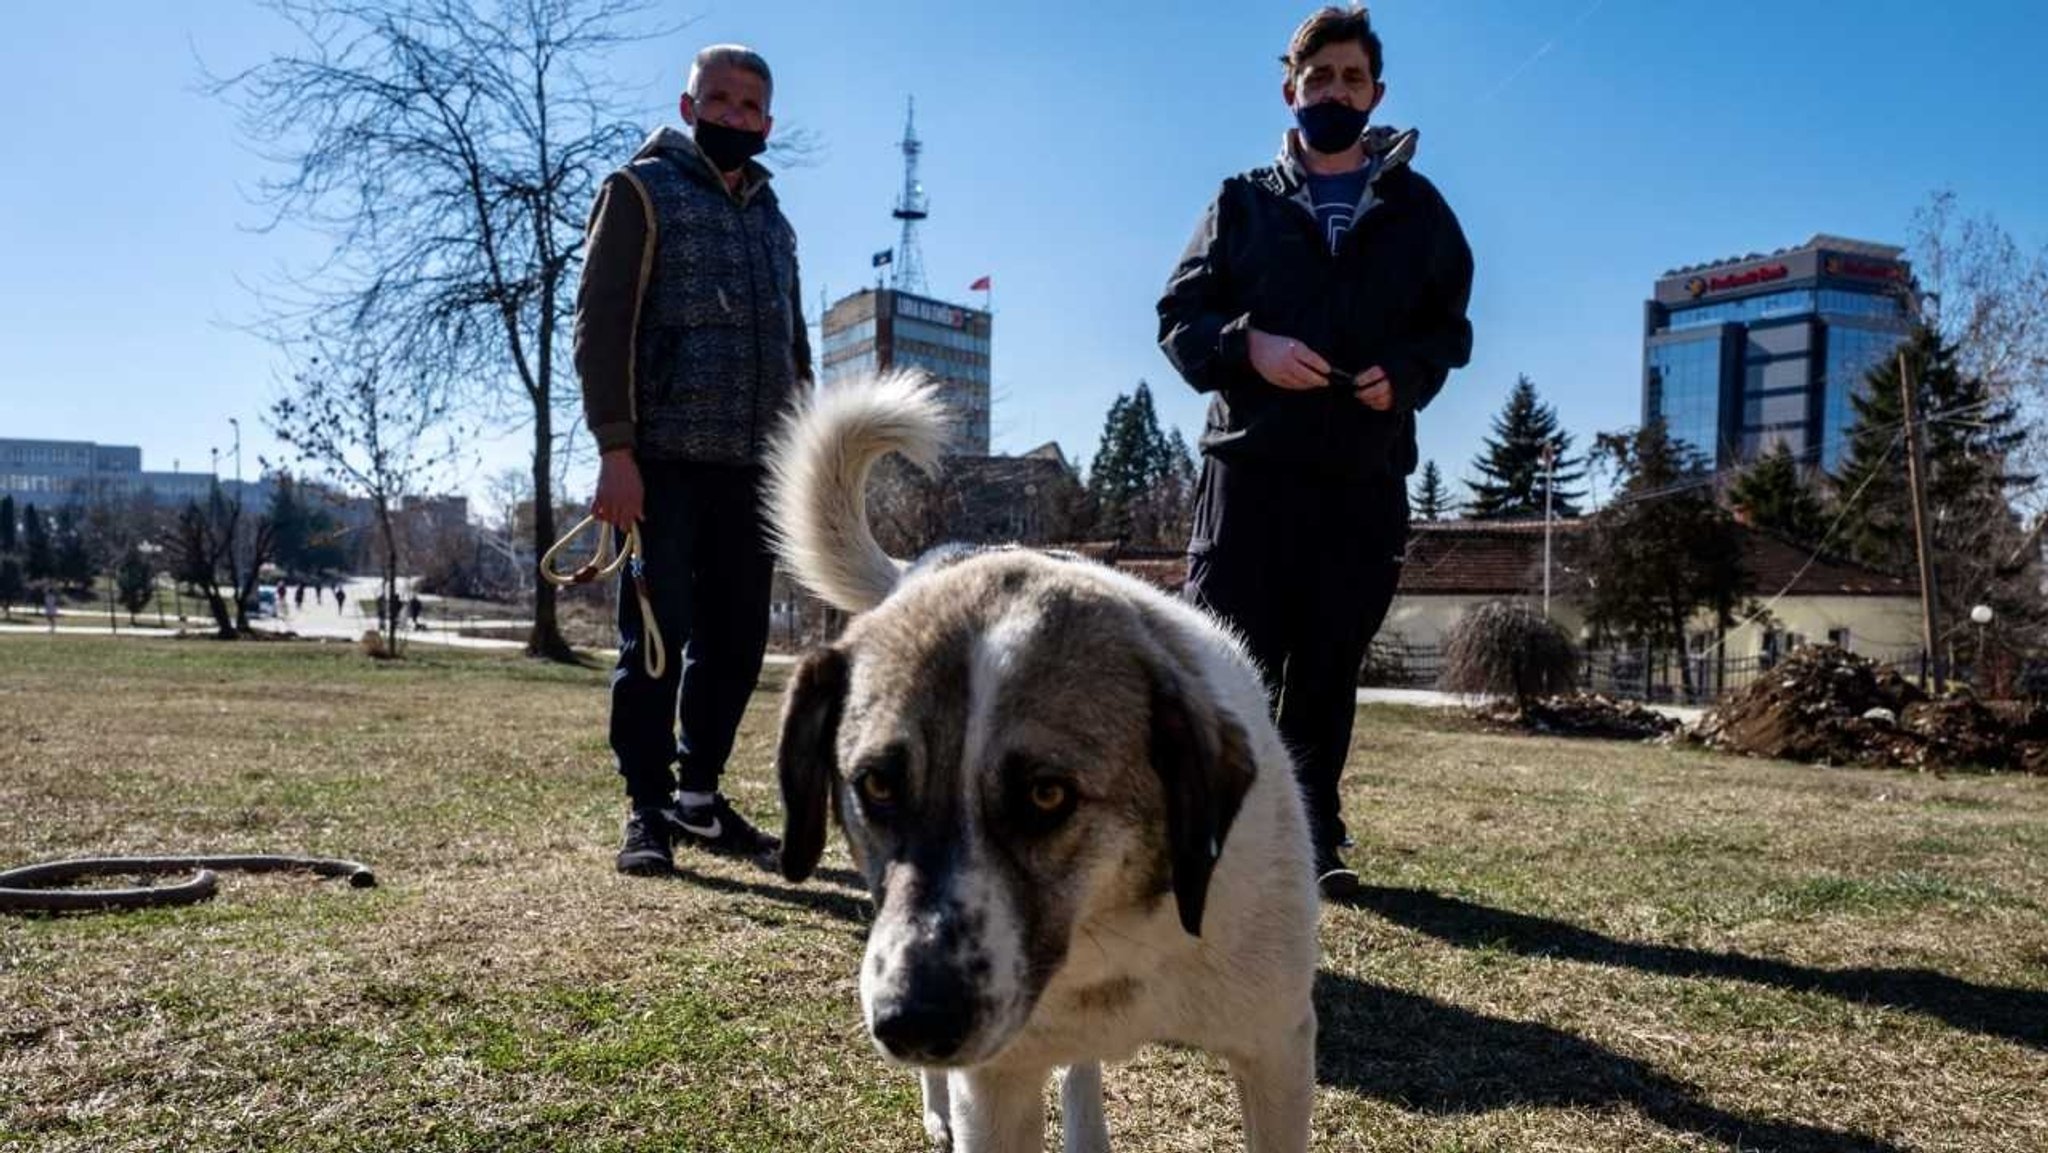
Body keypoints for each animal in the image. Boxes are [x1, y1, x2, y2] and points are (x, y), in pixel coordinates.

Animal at [770, 374, 1327, 1146]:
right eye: (877, 784)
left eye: (1046, 795)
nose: (913, 1021)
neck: (1111, 938)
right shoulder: (996, 1086)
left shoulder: (1276, 1049)